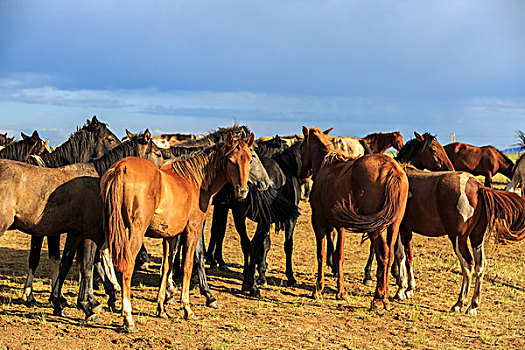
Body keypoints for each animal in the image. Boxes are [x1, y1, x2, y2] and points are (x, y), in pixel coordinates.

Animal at [101, 133, 254, 332]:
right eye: (230, 160)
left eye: (250, 160)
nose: (242, 191)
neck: (195, 182)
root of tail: (122, 167)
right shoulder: (193, 230)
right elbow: (189, 264)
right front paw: (187, 308)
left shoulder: (170, 237)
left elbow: (166, 267)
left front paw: (161, 308)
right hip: (135, 232)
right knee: (126, 266)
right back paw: (128, 318)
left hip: (111, 228)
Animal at [298, 126, 410, 308]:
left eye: (301, 147)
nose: (303, 175)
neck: (327, 167)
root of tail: (392, 169)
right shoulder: (341, 227)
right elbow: (339, 255)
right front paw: (341, 291)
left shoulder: (318, 222)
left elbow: (321, 254)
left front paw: (318, 290)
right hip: (393, 225)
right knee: (391, 253)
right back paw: (385, 297)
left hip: (376, 228)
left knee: (383, 254)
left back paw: (378, 298)